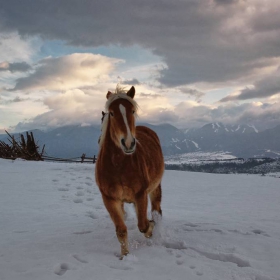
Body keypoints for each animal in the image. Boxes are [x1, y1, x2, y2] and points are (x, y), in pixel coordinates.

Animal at [95, 85, 164, 258]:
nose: (128, 143)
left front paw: (151, 228)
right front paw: (124, 256)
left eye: (132, 111)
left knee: (156, 210)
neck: (119, 166)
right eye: (112, 113)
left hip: (155, 188)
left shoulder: (140, 195)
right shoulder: (109, 199)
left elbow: (143, 225)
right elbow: (121, 230)